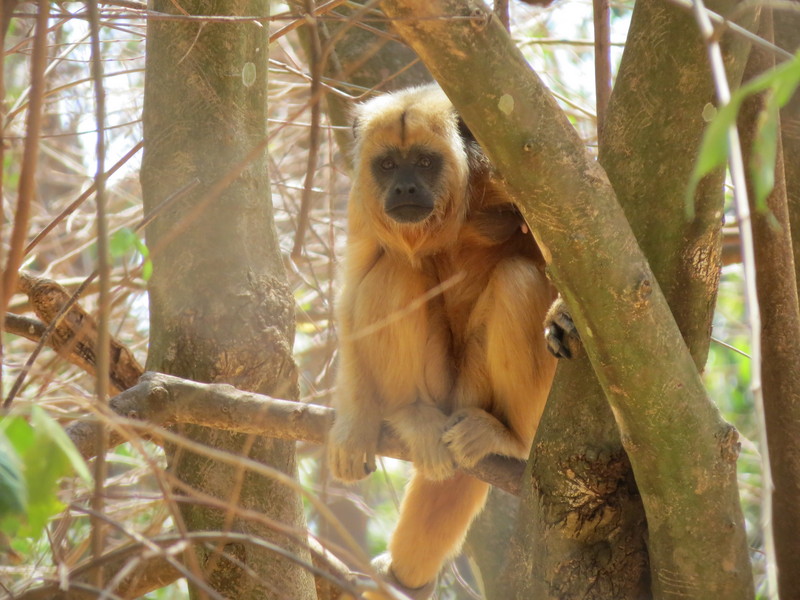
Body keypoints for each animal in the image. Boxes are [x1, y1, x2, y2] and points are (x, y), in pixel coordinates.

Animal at [328, 83, 560, 596]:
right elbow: (353, 290)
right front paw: (354, 422)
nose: (404, 188)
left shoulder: (517, 173)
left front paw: (567, 315)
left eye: (425, 161)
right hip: (444, 390)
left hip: (482, 389)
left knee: (519, 280)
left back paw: (511, 439)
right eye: (388, 165)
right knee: (392, 272)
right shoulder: (362, 203)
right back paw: (411, 414)